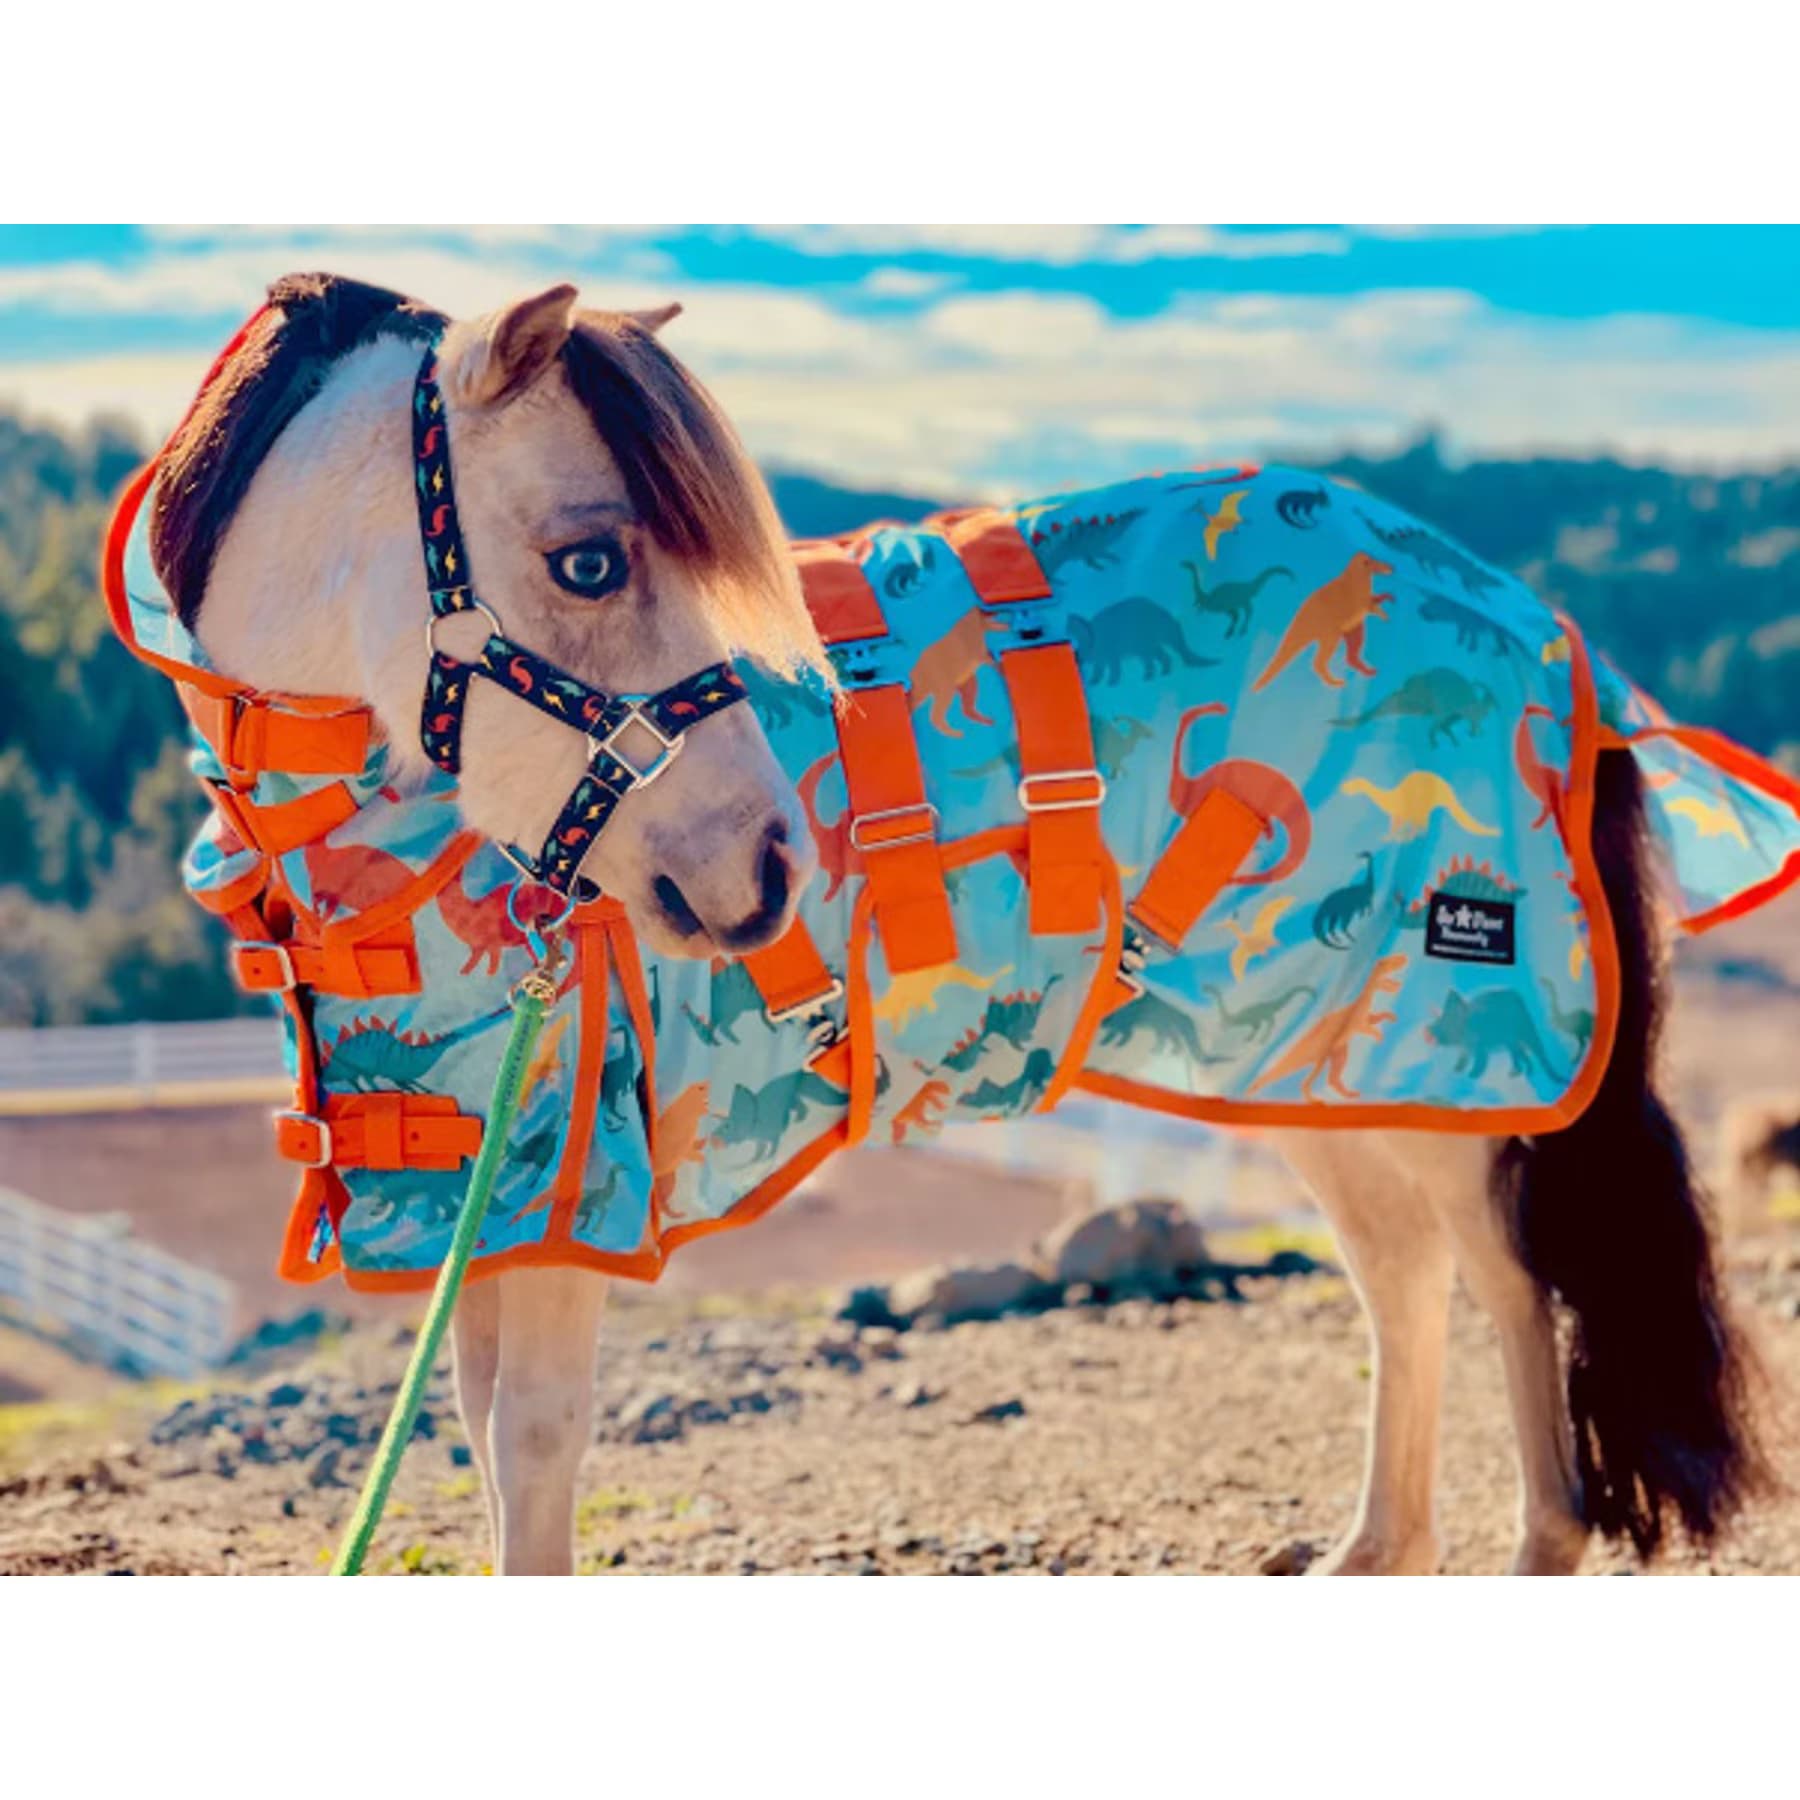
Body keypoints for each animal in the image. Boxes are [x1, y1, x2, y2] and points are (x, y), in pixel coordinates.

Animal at [112, 272, 1796, 1576]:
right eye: (588, 560)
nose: (766, 868)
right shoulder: (500, 1202)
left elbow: (534, 1454)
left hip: (1449, 1050)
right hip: (1309, 1054)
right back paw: (1371, 1550)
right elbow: (480, 1442)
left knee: (1515, 1280)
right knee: (1402, 1273)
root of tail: (1540, 625)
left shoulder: (577, 1193)